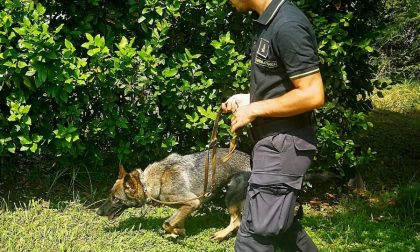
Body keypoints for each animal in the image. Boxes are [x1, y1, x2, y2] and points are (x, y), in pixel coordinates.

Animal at [97, 149, 251, 241]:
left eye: (115, 199)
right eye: (110, 195)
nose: (97, 211)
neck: (148, 184)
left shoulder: (193, 203)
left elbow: (166, 223)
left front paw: (178, 232)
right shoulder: (185, 207)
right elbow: (175, 221)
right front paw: (178, 231)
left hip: (230, 195)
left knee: (237, 220)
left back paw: (220, 235)